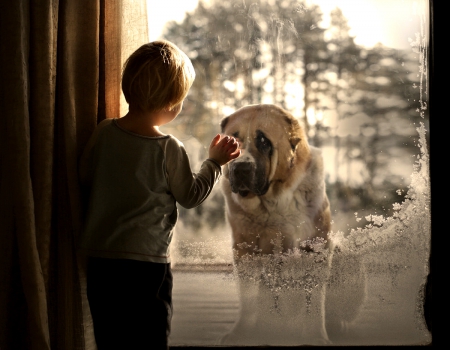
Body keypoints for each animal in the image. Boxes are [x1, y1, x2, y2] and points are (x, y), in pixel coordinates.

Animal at [220, 104, 332, 344]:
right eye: (233, 141)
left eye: (263, 141)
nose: (240, 168)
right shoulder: (244, 248)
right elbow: (249, 295)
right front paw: (242, 333)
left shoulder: (316, 246)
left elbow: (314, 298)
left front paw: (316, 336)